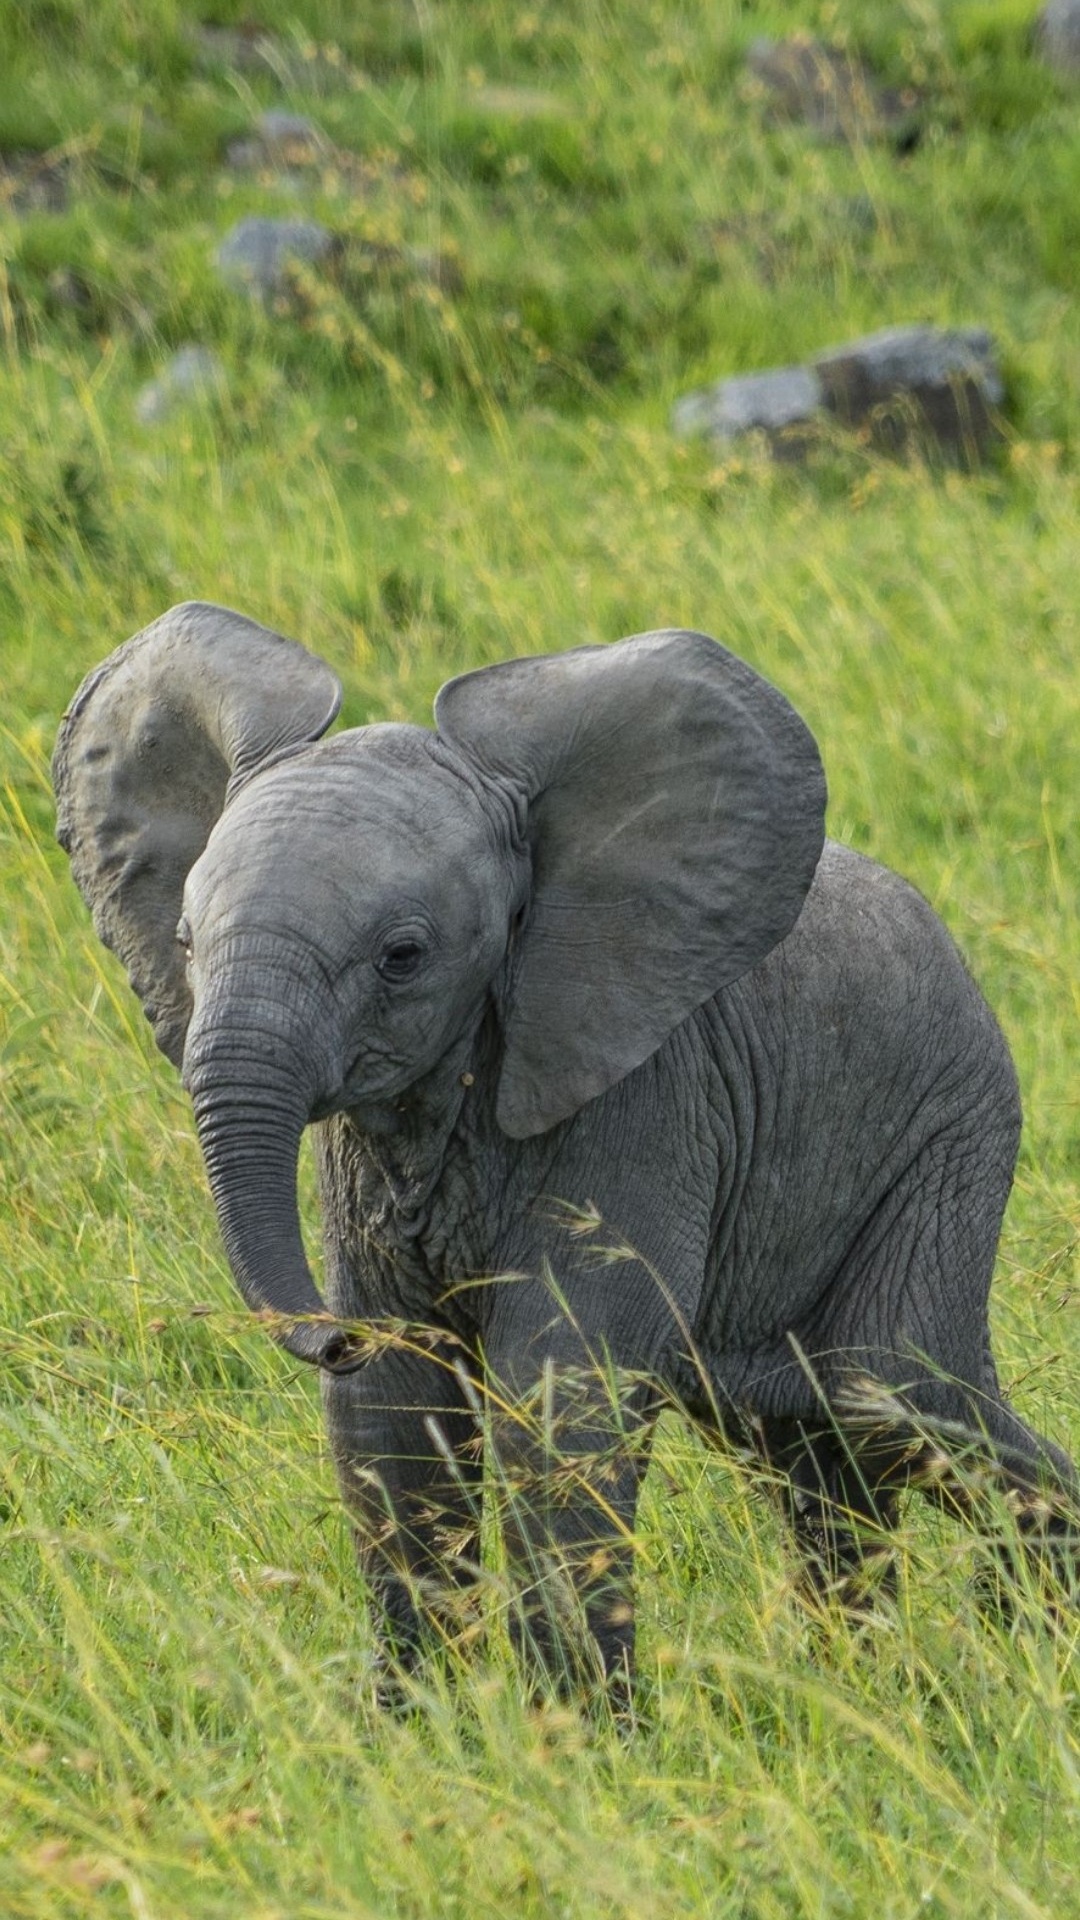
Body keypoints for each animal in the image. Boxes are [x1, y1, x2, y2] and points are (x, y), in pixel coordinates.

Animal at [54, 602, 1076, 1697]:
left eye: (402, 958)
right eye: (185, 942)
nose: (332, 1333)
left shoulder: (643, 1101)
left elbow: (555, 1400)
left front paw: (576, 1731)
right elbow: (394, 1414)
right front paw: (418, 1722)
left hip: (949, 1138)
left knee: (900, 1399)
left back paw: (1018, 1653)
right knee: (820, 1453)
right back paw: (865, 1684)